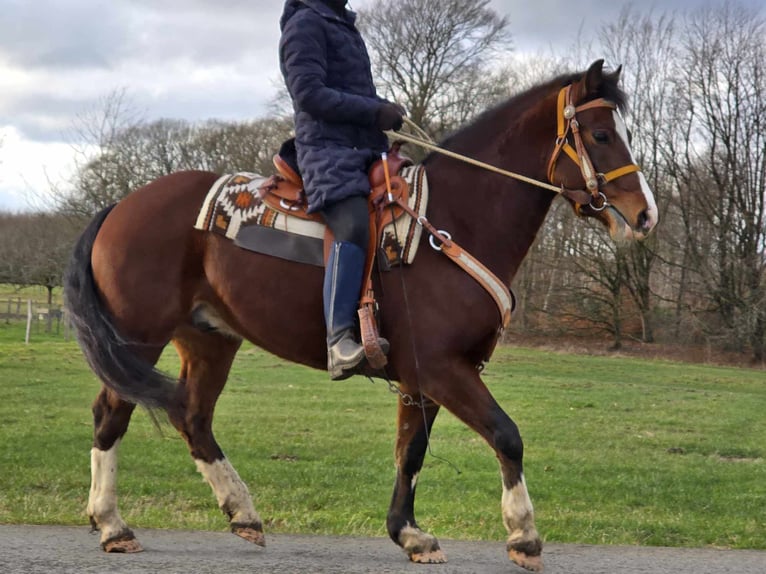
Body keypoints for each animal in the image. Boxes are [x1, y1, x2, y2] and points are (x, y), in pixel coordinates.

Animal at [63, 60, 660, 572]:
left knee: (192, 416)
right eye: (601, 135)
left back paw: (242, 511)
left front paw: (410, 534)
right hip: (138, 338)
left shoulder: (423, 379)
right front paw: (524, 534)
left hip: (209, 338)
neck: (449, 224)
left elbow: (410, 451)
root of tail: (121, 206)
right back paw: (113, 524)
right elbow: (505, 434)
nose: (645, 215)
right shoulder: (443, 370)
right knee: (110, 415)